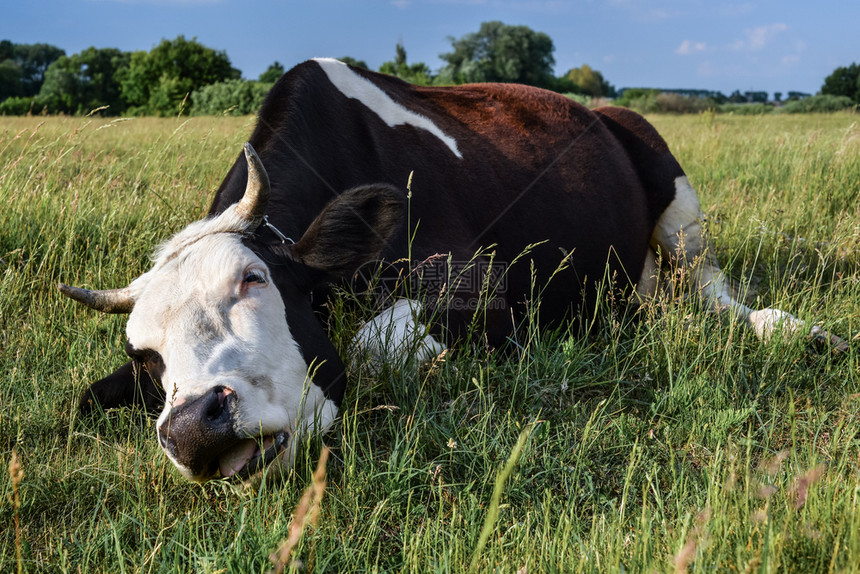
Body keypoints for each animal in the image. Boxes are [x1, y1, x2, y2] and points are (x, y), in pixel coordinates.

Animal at [58, 58, 848, 484]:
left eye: (253, 281)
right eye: (146, 356)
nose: (193, 426)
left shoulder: (486, 283)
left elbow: (378, 341)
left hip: (675, 197)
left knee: (715, 292)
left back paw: (798, 331)